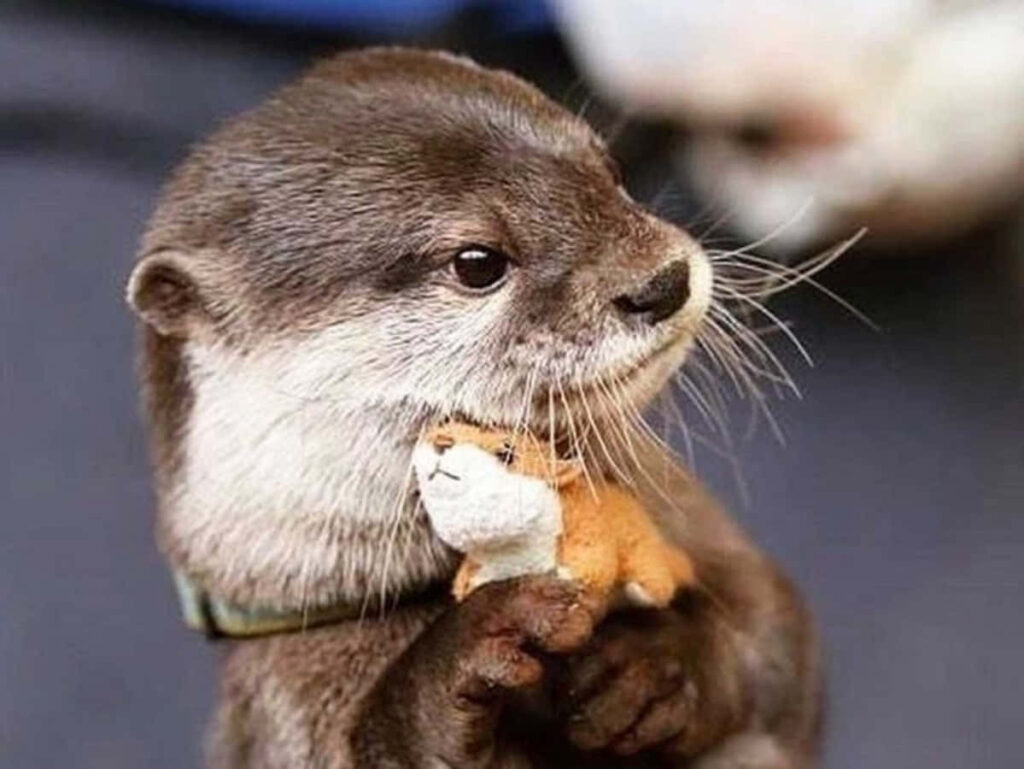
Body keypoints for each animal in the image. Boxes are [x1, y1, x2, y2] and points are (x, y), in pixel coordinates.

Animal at [126, 48, 821, 768]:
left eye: (610, 170)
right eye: (478, 261)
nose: (663, 282)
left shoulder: (697, 526)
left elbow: (776, 630)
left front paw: (654, 666)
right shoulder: (283, 705)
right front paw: (462, 658)